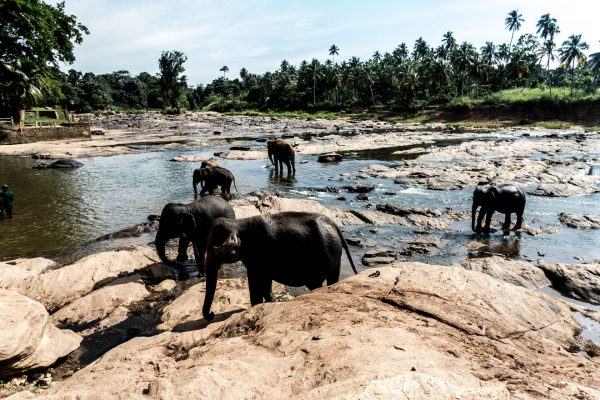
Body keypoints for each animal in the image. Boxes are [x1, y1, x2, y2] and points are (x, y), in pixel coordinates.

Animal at [199, 211, 358, 320]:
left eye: (214, 247)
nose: (212, 314)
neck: (239, 223)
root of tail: (335, 225)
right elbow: (265, 284)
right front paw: (270, 303)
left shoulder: (259, 256)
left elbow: (256, 282)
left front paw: (256, 306)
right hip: (335, 255)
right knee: (332, 280)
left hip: (324, 257)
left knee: (316, 283)